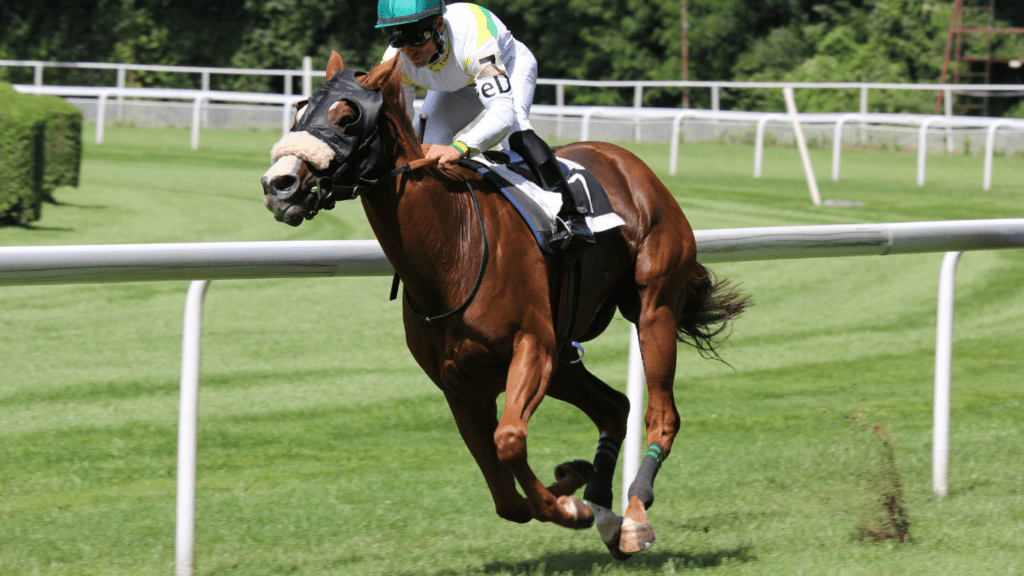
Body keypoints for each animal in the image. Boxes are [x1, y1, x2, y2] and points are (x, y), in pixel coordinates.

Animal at [260, 52, 749, 557]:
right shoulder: (459, 384)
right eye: (300, 111)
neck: (453, 248)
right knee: (615, 407)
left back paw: (633, 517)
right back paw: (604, 508)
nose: (279, 184)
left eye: (347, 117)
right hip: (565, 356)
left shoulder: (531, 347)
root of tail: (630, 163)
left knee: (662, 414)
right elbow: (504, 494)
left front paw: (570, 506)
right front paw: (574, 487)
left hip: (654, 307)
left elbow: (510, 440)